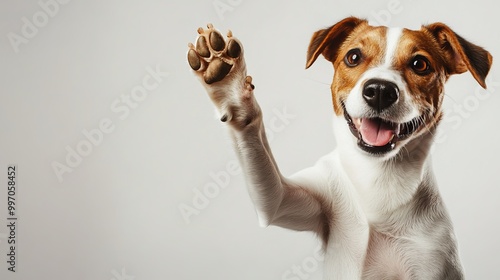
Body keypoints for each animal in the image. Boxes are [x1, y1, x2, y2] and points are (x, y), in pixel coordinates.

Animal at [187, 17, 492, 280]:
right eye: (353, 57)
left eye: (420, 64)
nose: (380, 90)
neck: (377, 176)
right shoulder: (286, 201)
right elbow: (269, 182)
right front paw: (228, 82)